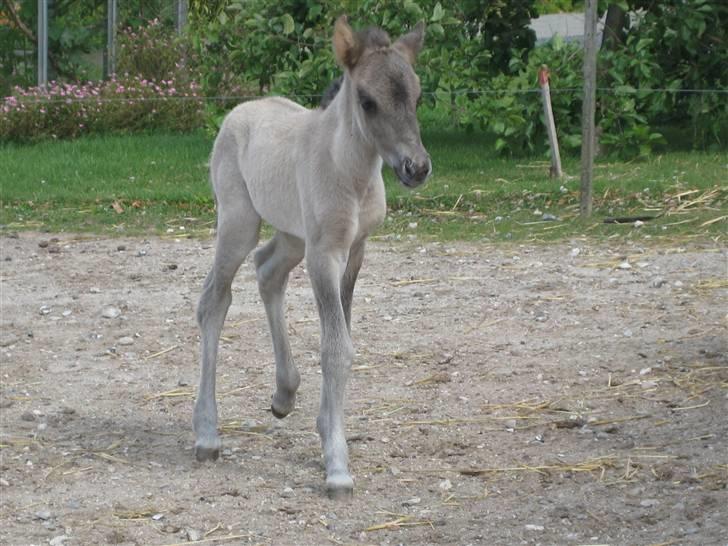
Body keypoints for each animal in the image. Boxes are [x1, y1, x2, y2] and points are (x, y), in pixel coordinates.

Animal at [195, 15, 432, 498]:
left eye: (417, 96)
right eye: (368, 101)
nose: (416, 168)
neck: (350, 173)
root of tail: (237, 112)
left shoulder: (356, 250)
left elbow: (341, 335)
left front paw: (327, 430)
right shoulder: (324, 254)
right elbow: (336, 348)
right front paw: (337, 466)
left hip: (291, 235)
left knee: (267, 271)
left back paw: (284, 395)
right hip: (239, 223)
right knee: (214, 300)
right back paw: (207, 434)